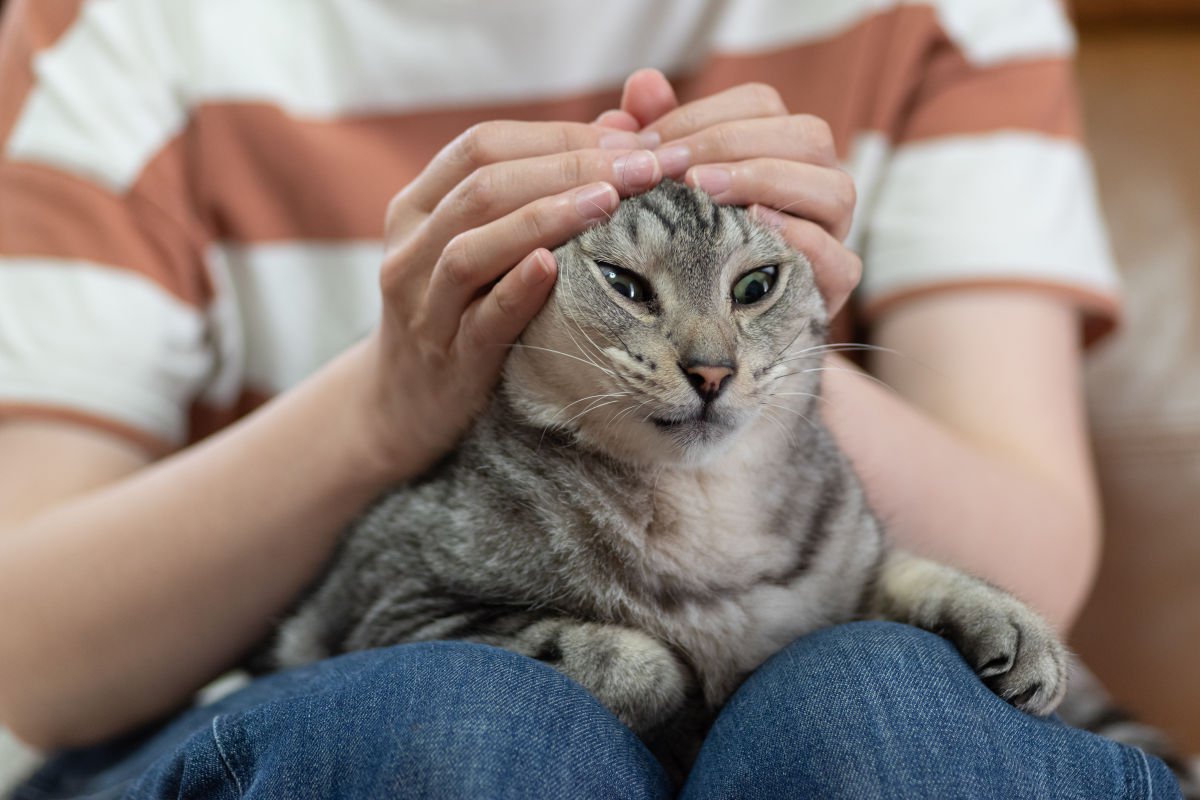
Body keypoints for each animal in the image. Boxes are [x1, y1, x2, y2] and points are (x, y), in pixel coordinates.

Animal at [274, 179, 1070, 767]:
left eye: (755, 286)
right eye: (624, 285)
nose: (711, 370)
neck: (706, 507)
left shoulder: (847, 566)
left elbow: (910, 571)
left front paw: (1011, 624)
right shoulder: (394, 605)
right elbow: (638, 660)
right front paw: (687, 699)